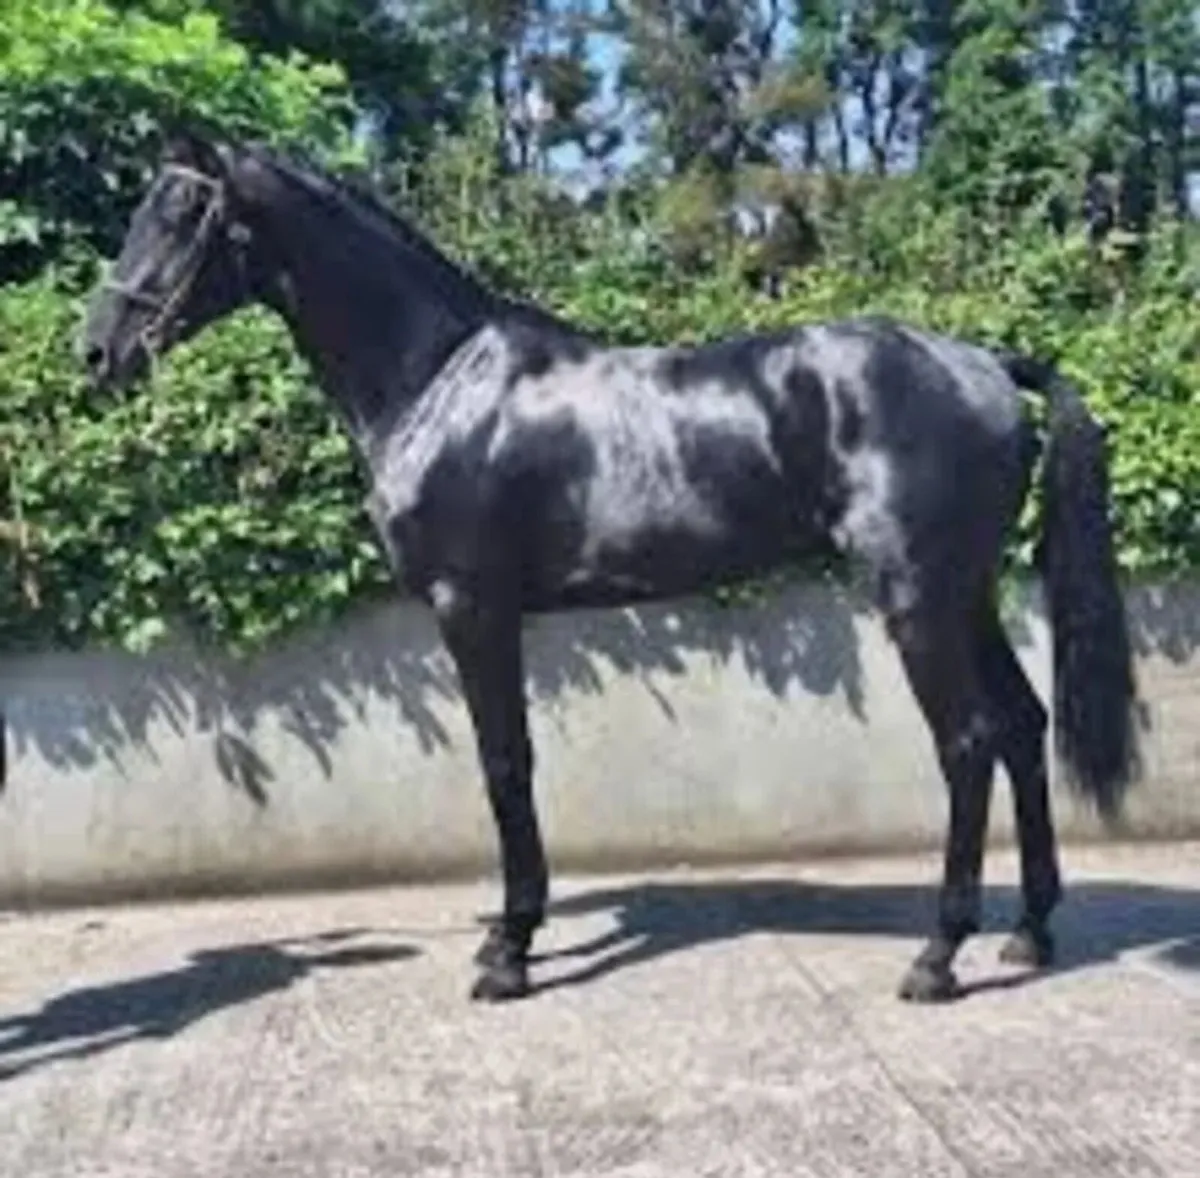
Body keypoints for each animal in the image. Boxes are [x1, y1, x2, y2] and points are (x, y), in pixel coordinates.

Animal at [80, 131, 1140, 1005]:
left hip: (917, 596)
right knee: (1021, 725)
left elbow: (505, 762)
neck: (438, 379)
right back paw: (1029, 934)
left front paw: (509, 952)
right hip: (965, 594)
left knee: (967, 742)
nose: (98, 351)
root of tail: (990, 367)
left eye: (178, 216)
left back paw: (938, 957)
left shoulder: (473, 608)